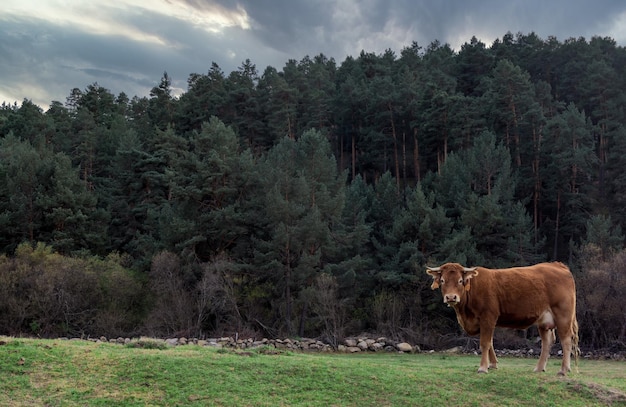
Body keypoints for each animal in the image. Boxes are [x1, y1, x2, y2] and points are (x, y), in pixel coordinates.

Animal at [424, 262, 576, 374]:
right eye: (442, 280)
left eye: (460, 281)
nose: (451, 297)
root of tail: (557, 265)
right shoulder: (484, 322)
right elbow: (490, 342)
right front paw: (492, 364)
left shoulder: (488, 317)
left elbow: (485, 343)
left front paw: (482, 368)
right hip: (544, 321)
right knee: (547, 342)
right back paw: (539, 368)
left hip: (563, 316)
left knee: (566, 341)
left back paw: (563, 370)